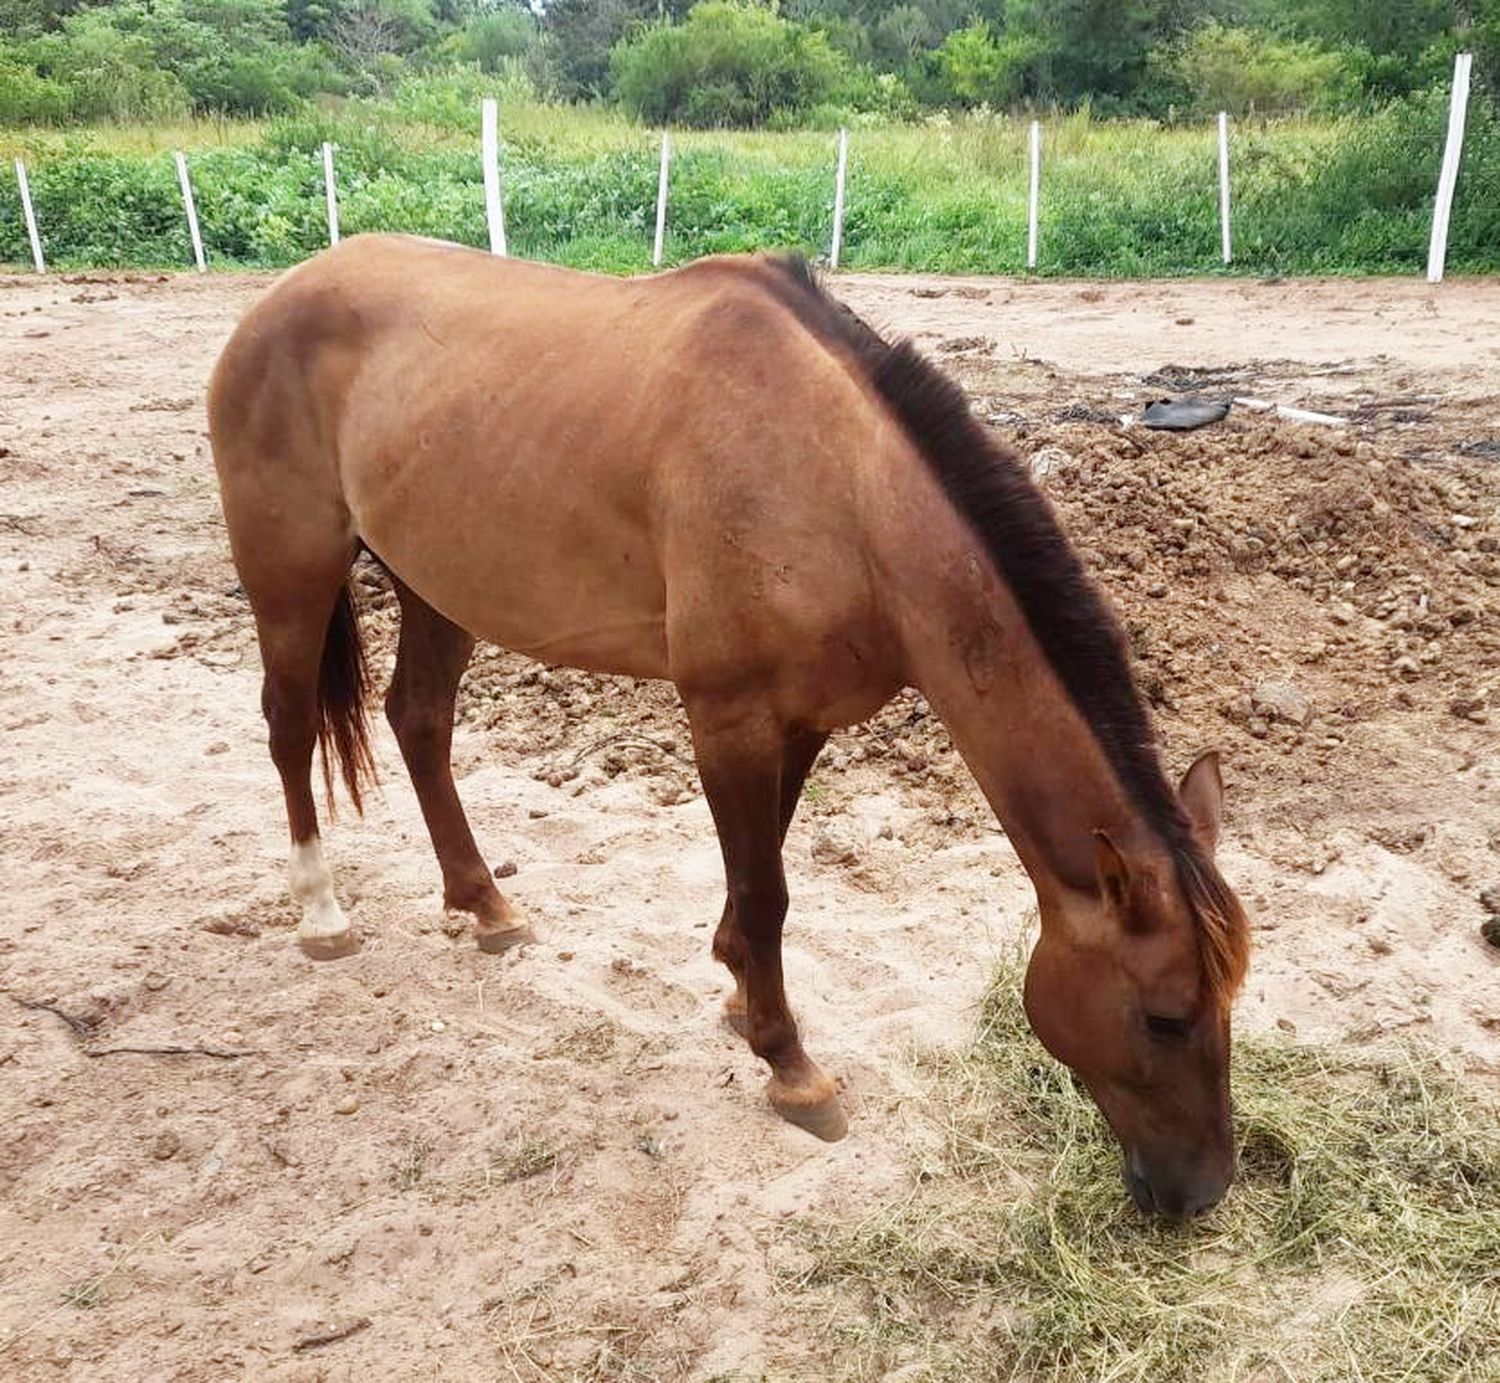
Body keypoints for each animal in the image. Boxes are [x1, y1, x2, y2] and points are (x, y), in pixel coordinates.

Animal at [205, 237, 1248, 1218]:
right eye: (1165, 1016)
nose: (1200, 1192)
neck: (841, 488)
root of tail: (282, 295)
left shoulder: (805, 717)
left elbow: (764, 869)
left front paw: (740, 991)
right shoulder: (727, 716)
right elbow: (767, 888)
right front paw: (792, 1067)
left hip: (435, 582)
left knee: (419, 722)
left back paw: (485, 904)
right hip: (292, 567)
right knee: (290, 728)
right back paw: (323, 914)